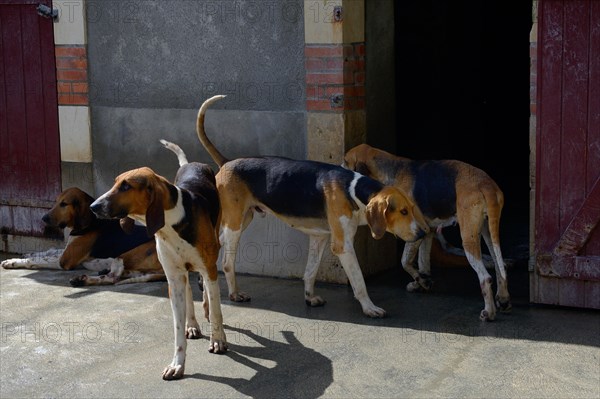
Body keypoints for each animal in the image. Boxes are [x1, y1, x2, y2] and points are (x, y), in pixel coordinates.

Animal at [0, 188, 164, 288]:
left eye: (64, 204)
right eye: (56, 201)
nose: (44, 218)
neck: (91, 223)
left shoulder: (64, 261)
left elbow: (37, 260)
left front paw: (14, 261)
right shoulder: (67, 250)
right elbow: (50, 250)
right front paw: (28, 253)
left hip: (125, 255)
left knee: (114, 277)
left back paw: (84, 279)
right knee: (116, 275)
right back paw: (85, 278)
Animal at [89, 148, 227, 380]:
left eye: (126, 186)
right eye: (116, 182)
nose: (93, 206)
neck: (171, 223)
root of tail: (191, 164)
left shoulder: (209, 269)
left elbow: (216, 309)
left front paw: (217, 340)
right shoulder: (174, 278)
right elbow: (178, 330)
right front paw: (177, 364)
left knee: (208, 292)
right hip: (181, 274)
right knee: (190, 292)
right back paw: (192, 324)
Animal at [195, 95, 428, 318]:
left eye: (412, 209)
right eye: (403, 212)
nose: (423, 234)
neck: (353, 190)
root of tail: (227, 162)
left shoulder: (319, 237)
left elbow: (310, 271)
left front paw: (310, 297)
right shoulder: (343, 246)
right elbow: (359, 281)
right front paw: (369, 308)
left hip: (242, 221)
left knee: (217, 247)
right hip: (234, 225)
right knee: (227, 262)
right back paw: (234, 294)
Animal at [342, 145, 510, 322]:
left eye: (345, 160)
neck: (392, 170)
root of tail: (487, 184)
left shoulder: (416, 232)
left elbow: (405, 262)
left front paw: (422, 282)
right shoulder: (428, 232)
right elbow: (423, 263)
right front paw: (422, 282)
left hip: (469, 239)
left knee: (485, 278)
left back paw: (489, 313)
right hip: (488, 232)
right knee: (500, 267)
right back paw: (503, 299)